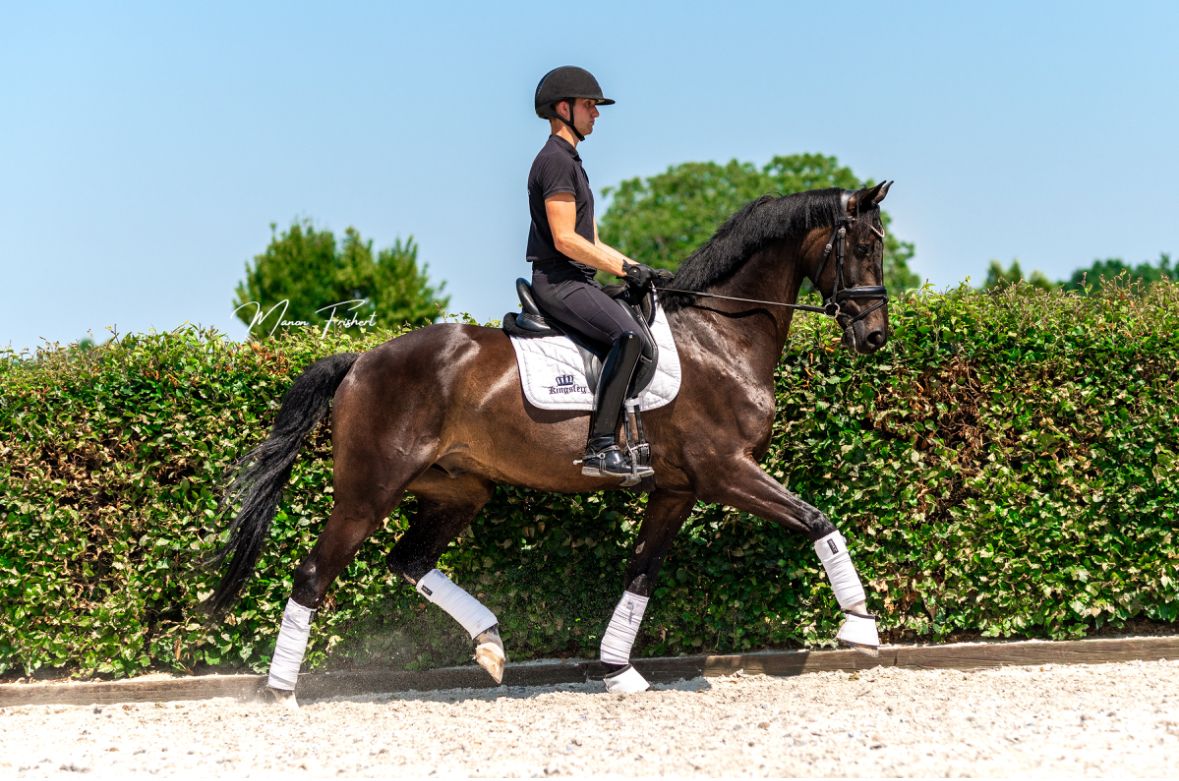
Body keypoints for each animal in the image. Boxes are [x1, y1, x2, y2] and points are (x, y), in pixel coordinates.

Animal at [208, 181, 894, 702]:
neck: (718, 335)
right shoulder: (727, 470)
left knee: (408, 560)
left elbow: (640, 574)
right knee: (313, 574)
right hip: (368, 491)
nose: (876, 337)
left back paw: (489, 644)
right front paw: (860, 627)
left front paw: (619, 671)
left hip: (460, 489)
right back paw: (281, 692)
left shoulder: (677, 489)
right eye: (863, 246)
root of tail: (359, 361)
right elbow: (817, 519)